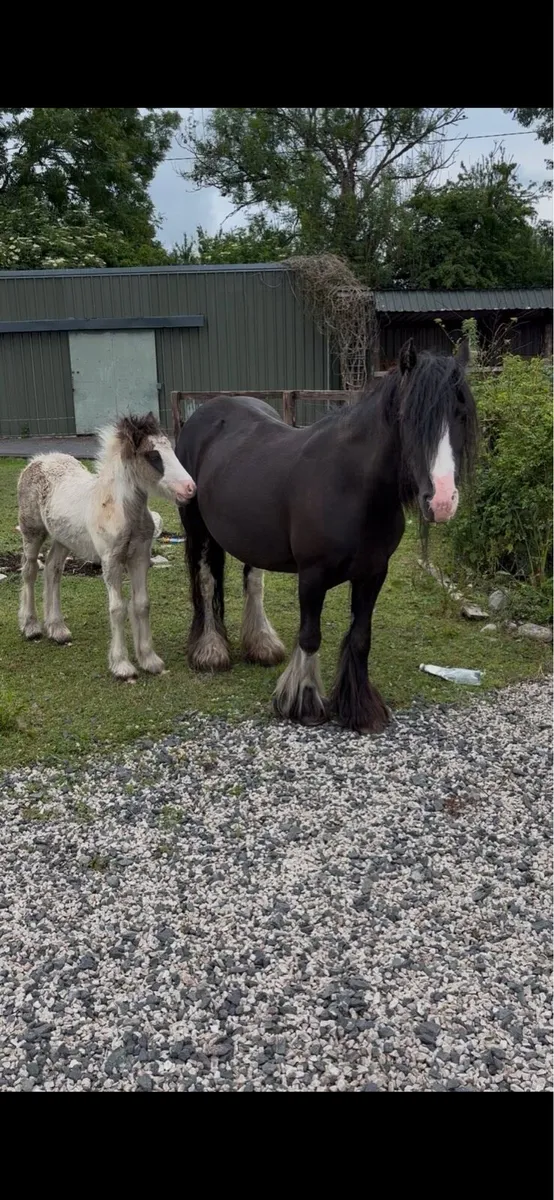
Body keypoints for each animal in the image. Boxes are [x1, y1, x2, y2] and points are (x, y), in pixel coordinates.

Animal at [17, 412, 196, 680]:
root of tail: (38, 460)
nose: (190, 488)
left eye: (170, 450)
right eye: (153, 455)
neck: (117, 509)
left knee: (52, 569)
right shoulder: (111, 560)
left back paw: (57, 629)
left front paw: (149, 660)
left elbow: (142, 604)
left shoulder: (140, 556)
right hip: (32, 533)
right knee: (29, 571)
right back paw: (30, 626)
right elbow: (118, 608)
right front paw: (122, 665)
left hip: (63, 538)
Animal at [174, 338, 478, 733]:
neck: (353, 486)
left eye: (461, 414)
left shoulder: (373, 573)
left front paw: (359, 708)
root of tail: (204, 413)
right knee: (206, 580)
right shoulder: (312, 576)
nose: (441, 501)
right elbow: (310, 636)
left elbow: (361, 638)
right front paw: (302, 702)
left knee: (252, 581)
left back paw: (261, 646)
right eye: (408, 416)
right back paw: (211, 652)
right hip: (197, 527)